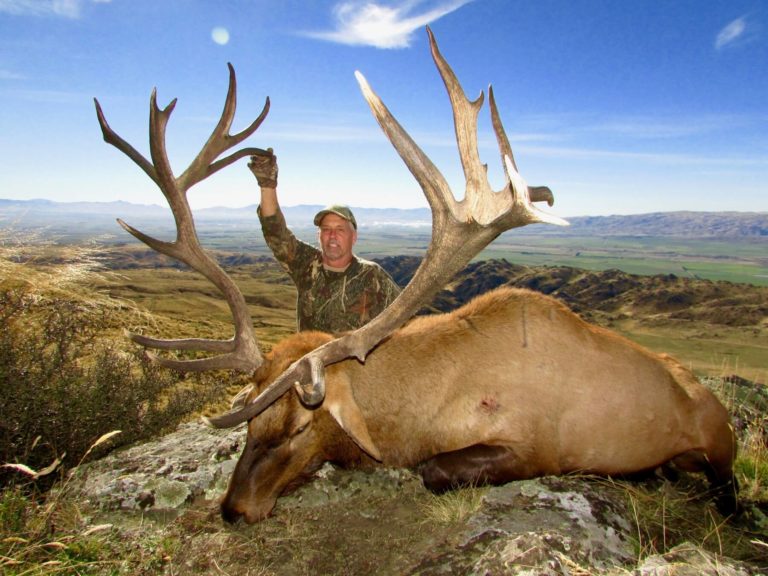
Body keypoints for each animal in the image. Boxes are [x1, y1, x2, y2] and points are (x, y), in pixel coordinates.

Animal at [95, 27, 738, 525]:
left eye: (299, 429)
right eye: (249, 425)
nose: (232, 510)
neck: (419, 414)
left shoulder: (536, 446)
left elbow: (433, 471)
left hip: (720, 439)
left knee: (726, 483)